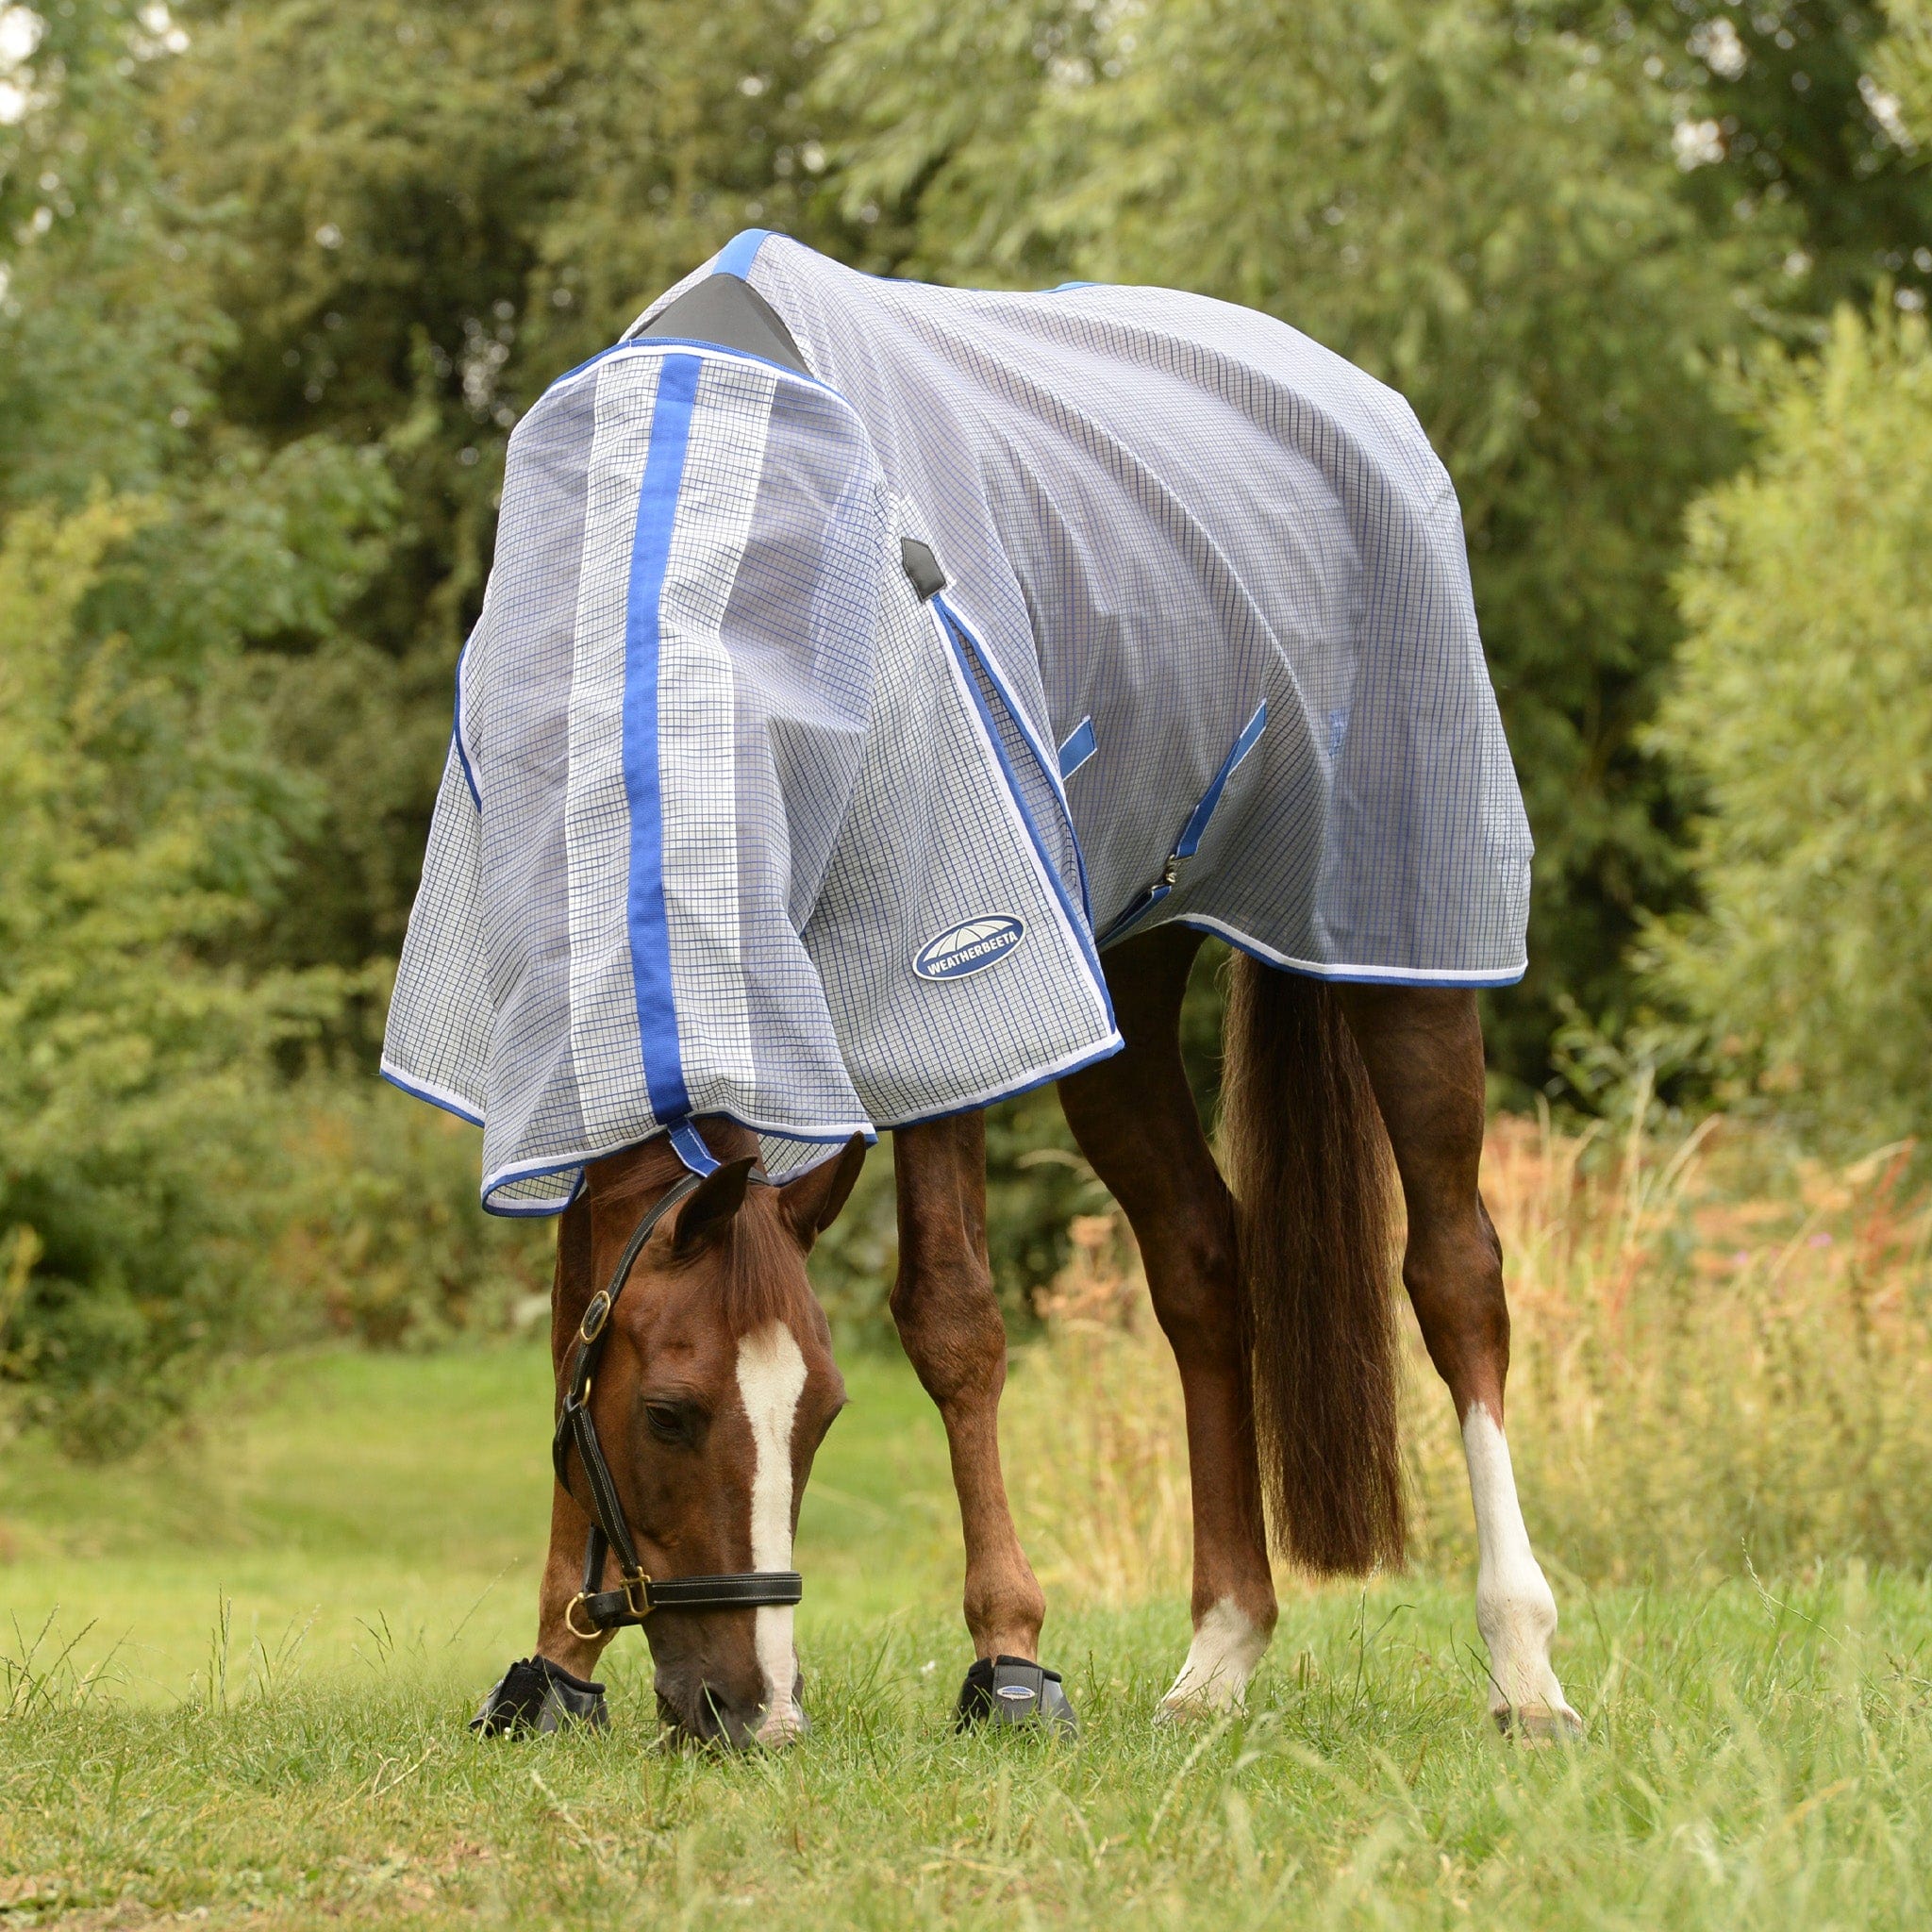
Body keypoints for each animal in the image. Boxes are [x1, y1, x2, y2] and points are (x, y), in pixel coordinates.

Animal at [387, 232, 1580, 1744]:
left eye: (822, 1415)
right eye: (667, 1411)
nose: (751, 1712)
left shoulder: (944, 991)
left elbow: (952, 1318)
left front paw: (1009, 1656)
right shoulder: (553, 1054)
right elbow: (567, 1322)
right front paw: (554, 1666)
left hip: (1401, 942)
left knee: (1455, 1275)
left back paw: (1523, 1662)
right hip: (1119, 976)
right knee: (1204, 1266)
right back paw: (1219, 1652)